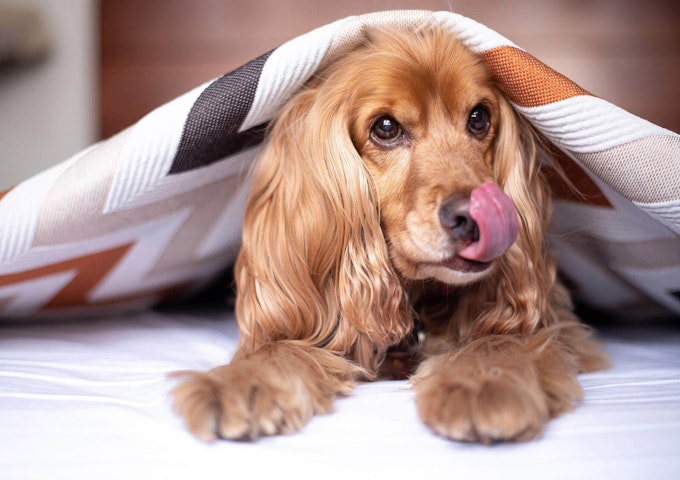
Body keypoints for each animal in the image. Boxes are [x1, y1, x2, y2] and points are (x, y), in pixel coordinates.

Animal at [173, 26, 608, 444]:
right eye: (385, 127)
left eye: (479, 117)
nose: (474, 218)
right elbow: (278, 347)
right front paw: (237, 382)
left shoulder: (562, 327)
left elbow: (504, 339)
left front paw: (483, 382)